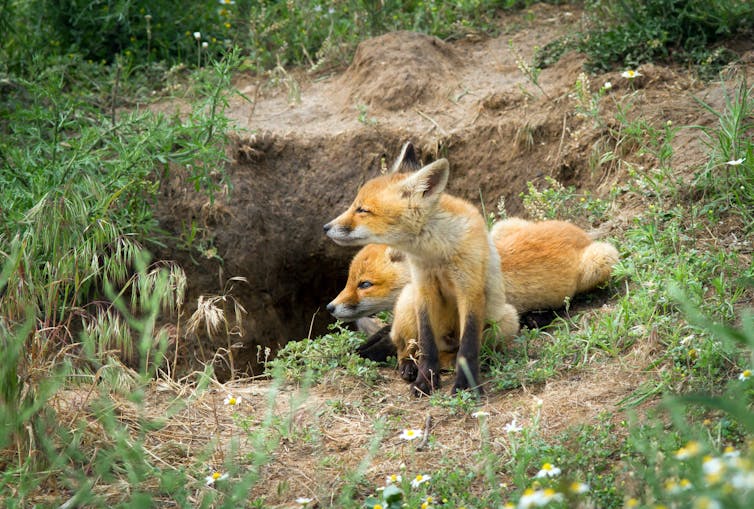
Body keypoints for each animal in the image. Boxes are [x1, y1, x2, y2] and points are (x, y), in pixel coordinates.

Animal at [324, 141, 516, 394]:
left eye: (362, 210)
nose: (325, 227)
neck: (437, 255)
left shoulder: (470, 288)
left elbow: (468, 346)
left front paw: (465, 384)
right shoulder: (423, 287)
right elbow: (426, 343)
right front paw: (425, 380)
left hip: (506, 321)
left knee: (455, 351)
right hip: (408, 299)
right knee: (405, 347)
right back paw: (409, 366)